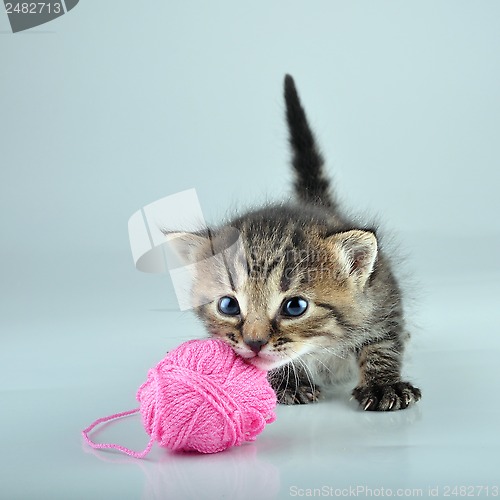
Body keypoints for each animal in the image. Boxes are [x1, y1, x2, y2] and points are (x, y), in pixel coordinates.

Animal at [167, 74, 422, 410]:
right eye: (228, 305)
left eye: (295, 307)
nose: (254, 342)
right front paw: (290, 381)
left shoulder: (383, 299)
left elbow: (383, 343)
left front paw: (383, 384)